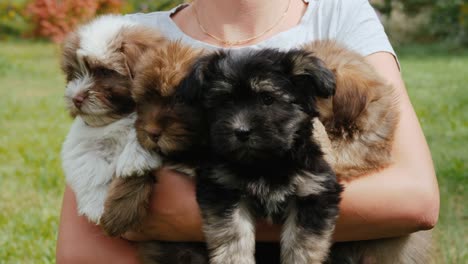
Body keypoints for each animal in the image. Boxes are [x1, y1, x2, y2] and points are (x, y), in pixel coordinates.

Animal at [60, 14, 166, 225]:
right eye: (74, 73)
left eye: (104, 72)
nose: (76, 98)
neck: (118, 117)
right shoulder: (80, 142)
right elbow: (89, 166)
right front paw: (96, 206)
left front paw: (134, 159)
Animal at [182, 49, 344, 264]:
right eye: (225, 101)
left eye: (267, 99)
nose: (241, 131)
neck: (265, 164)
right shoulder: (223, 187)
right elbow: (233, 234)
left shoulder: (314, 189)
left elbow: (302, 245)